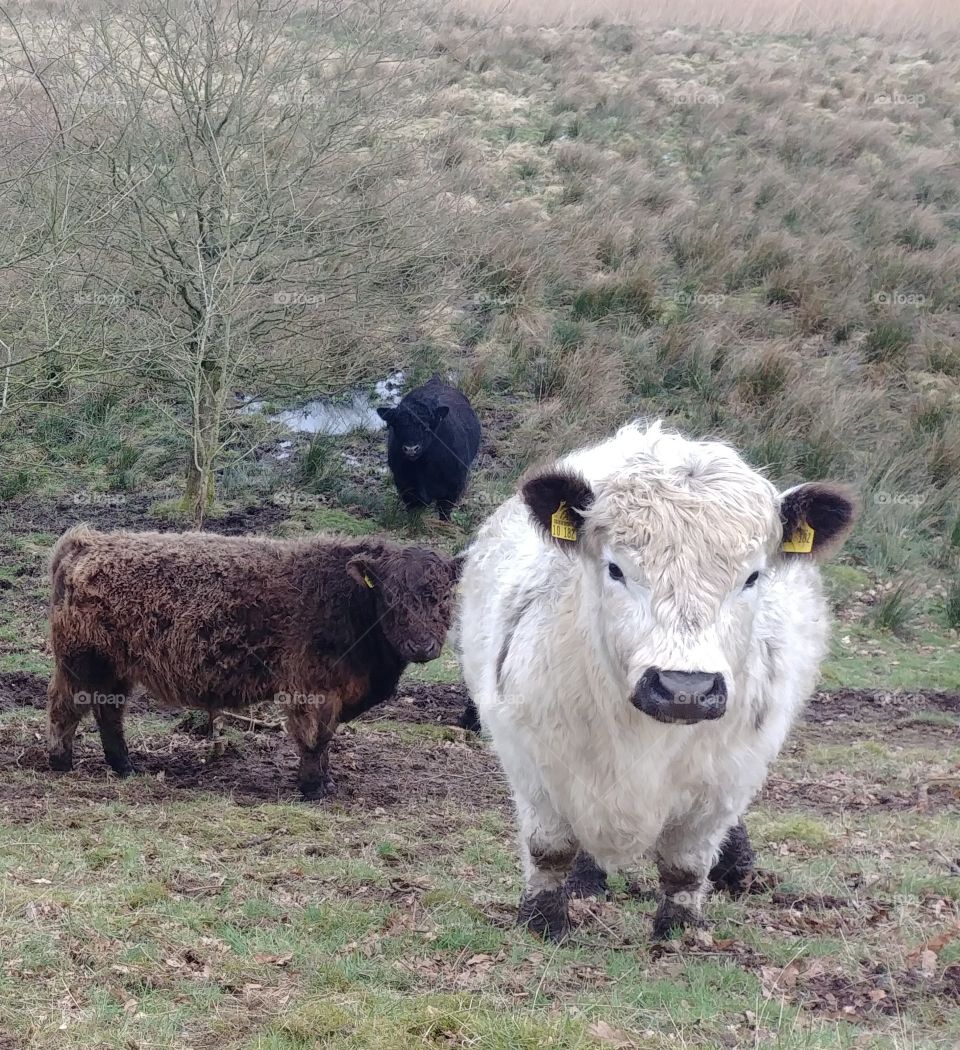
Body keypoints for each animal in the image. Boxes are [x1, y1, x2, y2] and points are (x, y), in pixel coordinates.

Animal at [47, 527, 460, 798]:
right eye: (390, 599)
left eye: (443, 597)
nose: (422, 646)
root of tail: (84, 542)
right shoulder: (313, 687)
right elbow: (316, 737)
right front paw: (313, 789)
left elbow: (326, 739)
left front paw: (325, 782)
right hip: (82, 663)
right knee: (66, 708)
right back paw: (61, 762)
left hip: (115, 668)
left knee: (108, 713)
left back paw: (125, 767)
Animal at [377, 375, 481, 520]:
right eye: (397, 426)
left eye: (426, 426)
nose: (411, 449)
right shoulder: (405, 487)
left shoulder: (452, 490)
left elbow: (444, 513)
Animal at [456, 421, 855, 941]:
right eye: (616, 568)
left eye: (752, 577)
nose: (684, 689)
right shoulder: (530, 756)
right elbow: (551, 847)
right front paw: (544, 918)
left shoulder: (729, 774)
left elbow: (686, 864)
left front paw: (680, 930)